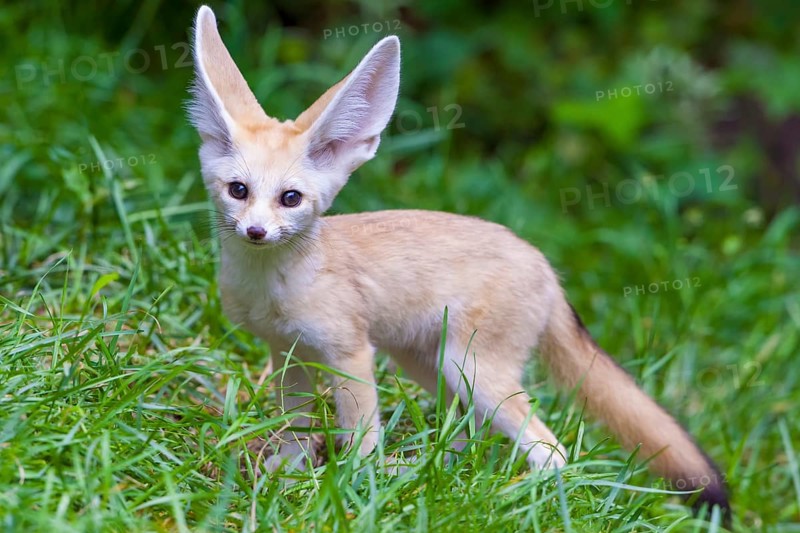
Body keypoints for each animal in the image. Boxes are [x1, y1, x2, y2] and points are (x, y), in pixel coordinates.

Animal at [188, 5, 729, 514]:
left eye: (290, 199)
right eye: (239, 191)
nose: (256, 232)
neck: (272, 290)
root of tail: (544, 264)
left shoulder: (350, 354)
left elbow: (361, 436)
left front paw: (351, 493)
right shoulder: (288, 354)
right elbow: (294, 433)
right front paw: (284, 479)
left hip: (472, 370)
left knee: (552, 451)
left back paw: (514, 497)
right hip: (433, 366)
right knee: (467, 432)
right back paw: (428, 476)